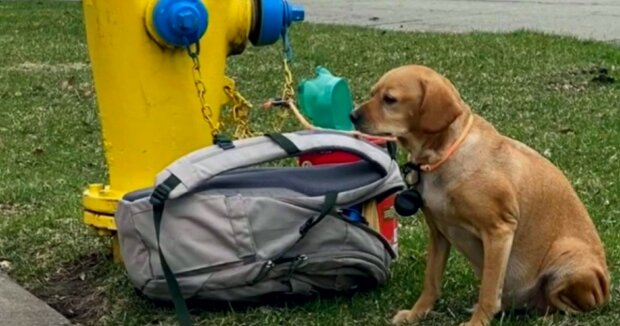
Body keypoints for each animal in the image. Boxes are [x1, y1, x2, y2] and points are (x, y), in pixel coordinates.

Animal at [348, 65, 612, 324]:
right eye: (373, 93)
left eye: (390, 99)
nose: (352, 116)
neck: (443, 156)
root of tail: (606, 289)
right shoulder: (438, 233)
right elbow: (431, 282)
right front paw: (416, 315)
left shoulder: (499, 231)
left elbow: (488, 290)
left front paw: (478, 321)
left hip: (567, 259)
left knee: (567, 305)